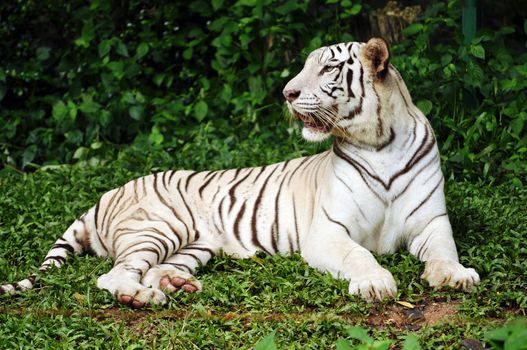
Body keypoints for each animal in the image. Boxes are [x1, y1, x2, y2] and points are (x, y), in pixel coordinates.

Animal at [0, 37, 480, 306]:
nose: (286, 92)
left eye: (326, 68)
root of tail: (105, 194)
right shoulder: (327, 231)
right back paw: (141, 297)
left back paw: (176, 285)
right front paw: (376, 283)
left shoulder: (432, 221)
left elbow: (445, 250)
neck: (380, 142)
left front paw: (456, 277)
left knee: (151, 269)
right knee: (115, 275)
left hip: (194, 246)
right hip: (157, 227)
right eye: (305, 67)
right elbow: (358, 254)